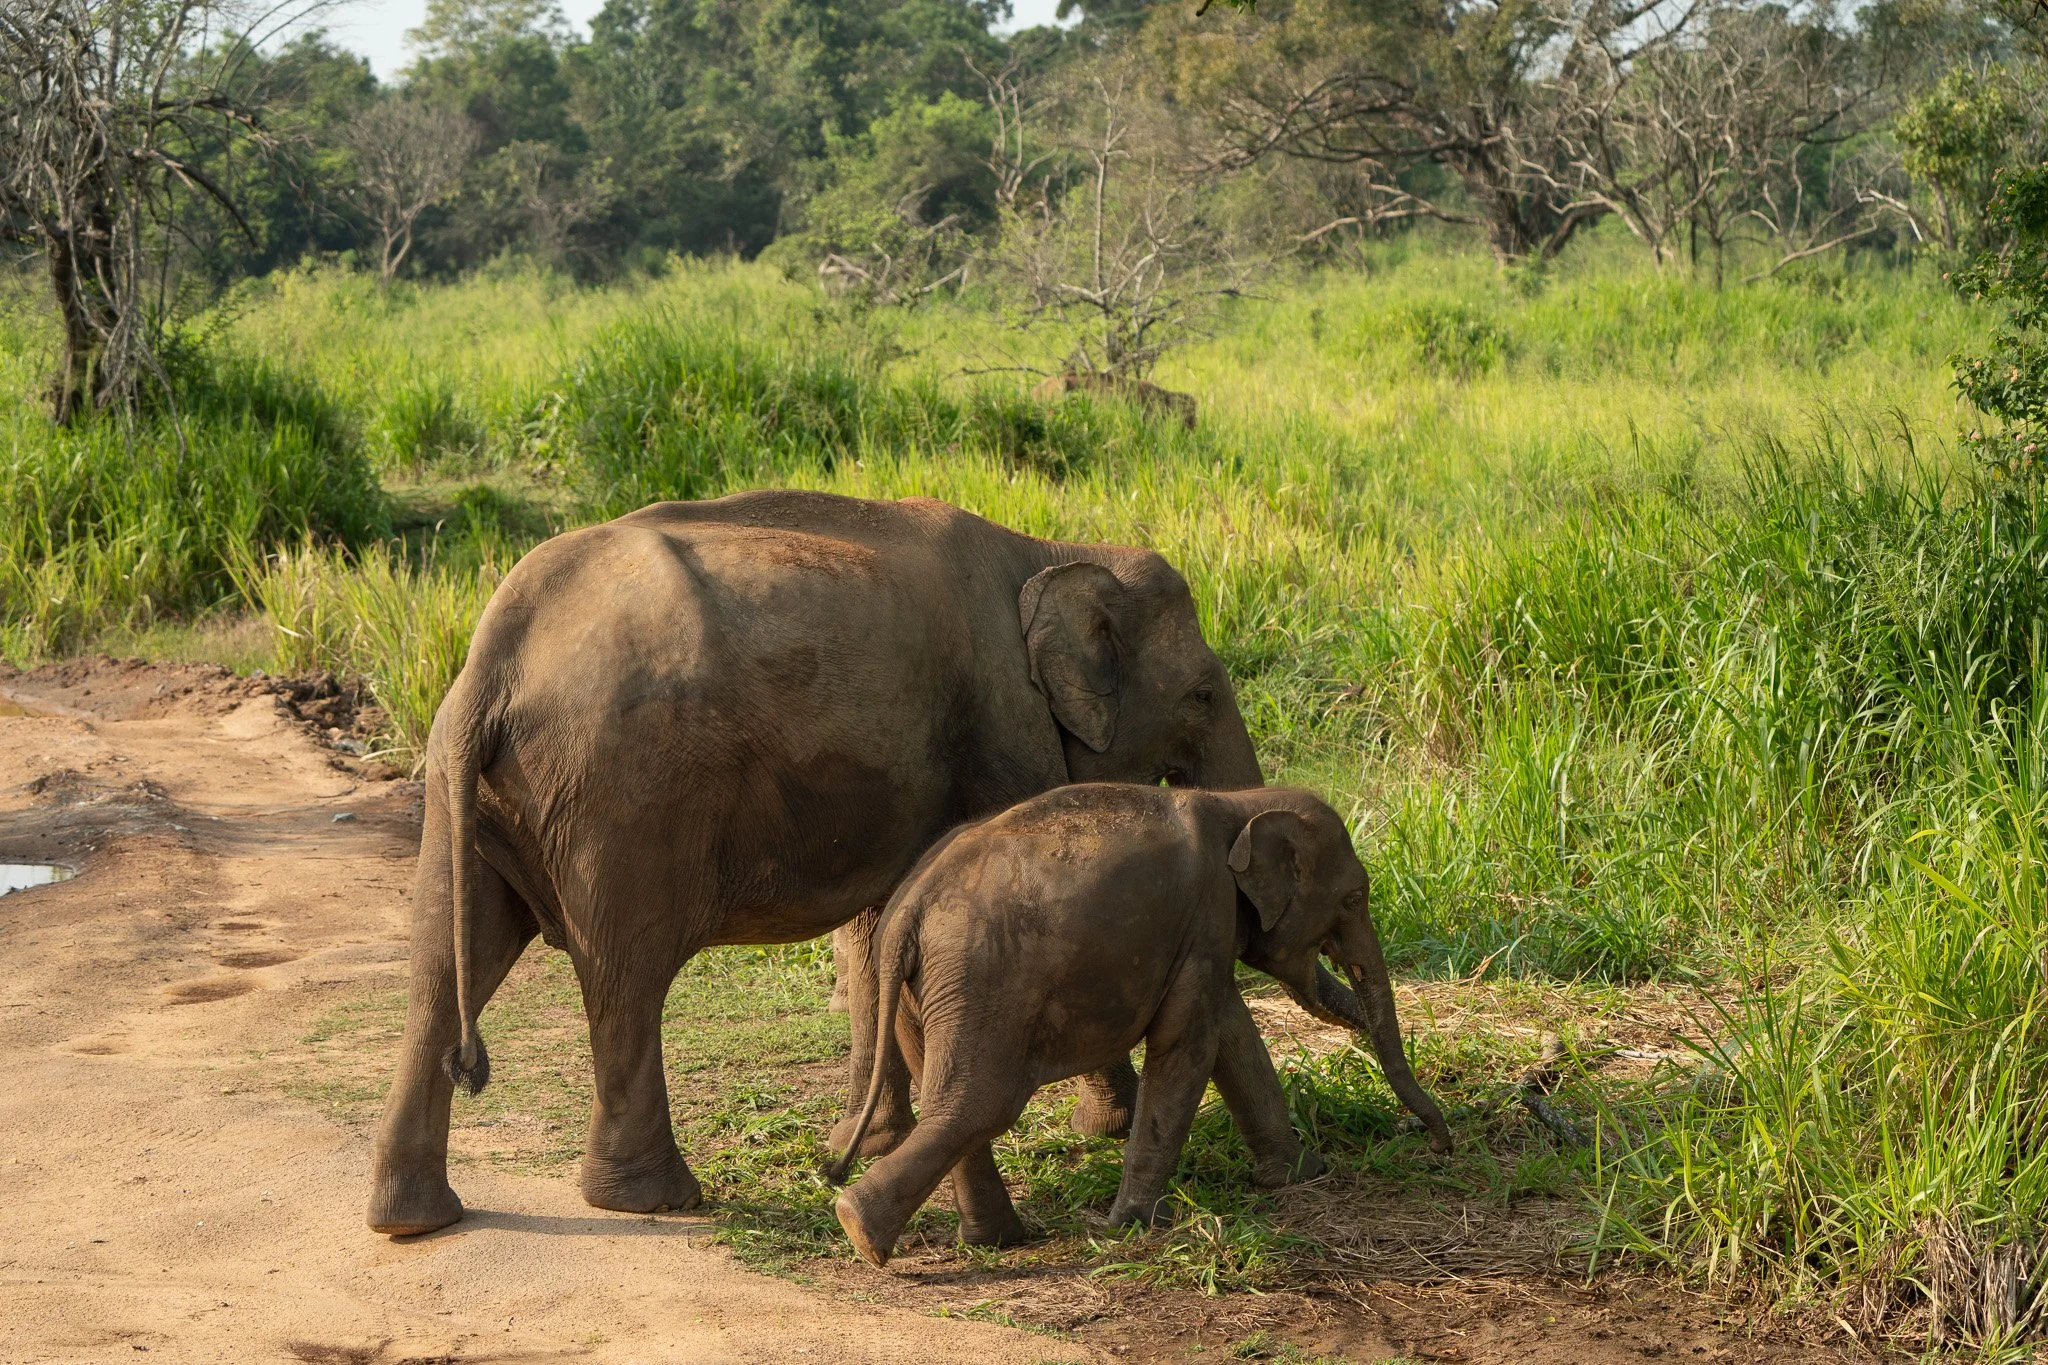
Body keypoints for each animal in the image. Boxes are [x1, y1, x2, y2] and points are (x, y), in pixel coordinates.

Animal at [367, 489, 1270, 1236]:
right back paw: (657, 1200)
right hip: (620, 794)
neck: (1049, 548)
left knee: (444, 964)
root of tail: (492, 655)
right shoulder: (1002, 721)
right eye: (1202, 695)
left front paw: (866, 1142)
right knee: (628, 972)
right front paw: (1106, 1125)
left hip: (476, 790)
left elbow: (882, 920)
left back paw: (412, 1220)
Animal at [826, 782, 1454, 1268]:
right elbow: (1188, 1043)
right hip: (982, 983)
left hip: (922, 995)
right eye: (1355, 897)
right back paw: (862, 1228)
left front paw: (1297, 1175)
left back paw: (986, 1240)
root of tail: (908, 908)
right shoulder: (1207, 910)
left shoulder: (1204, 929)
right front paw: (1131, 1224)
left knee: (950, 1102)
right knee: (977, 1106)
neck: (1237, 802)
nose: (1439, 1145)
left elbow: (1231, 1033)